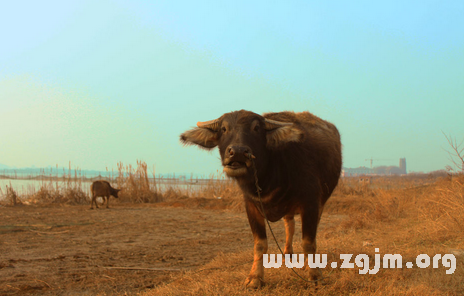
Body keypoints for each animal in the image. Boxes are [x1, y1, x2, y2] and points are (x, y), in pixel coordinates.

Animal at [179, 110, 342, 288]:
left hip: (321, 203)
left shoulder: (311, 203)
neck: (270, 175)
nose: (237, 151)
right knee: (289, 226)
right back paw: (287, 255)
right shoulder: (251, 205)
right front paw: (255, 278)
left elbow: (308, 241)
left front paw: (315, 276)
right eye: (223, 128)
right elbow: (260, 244)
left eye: (256, 128)